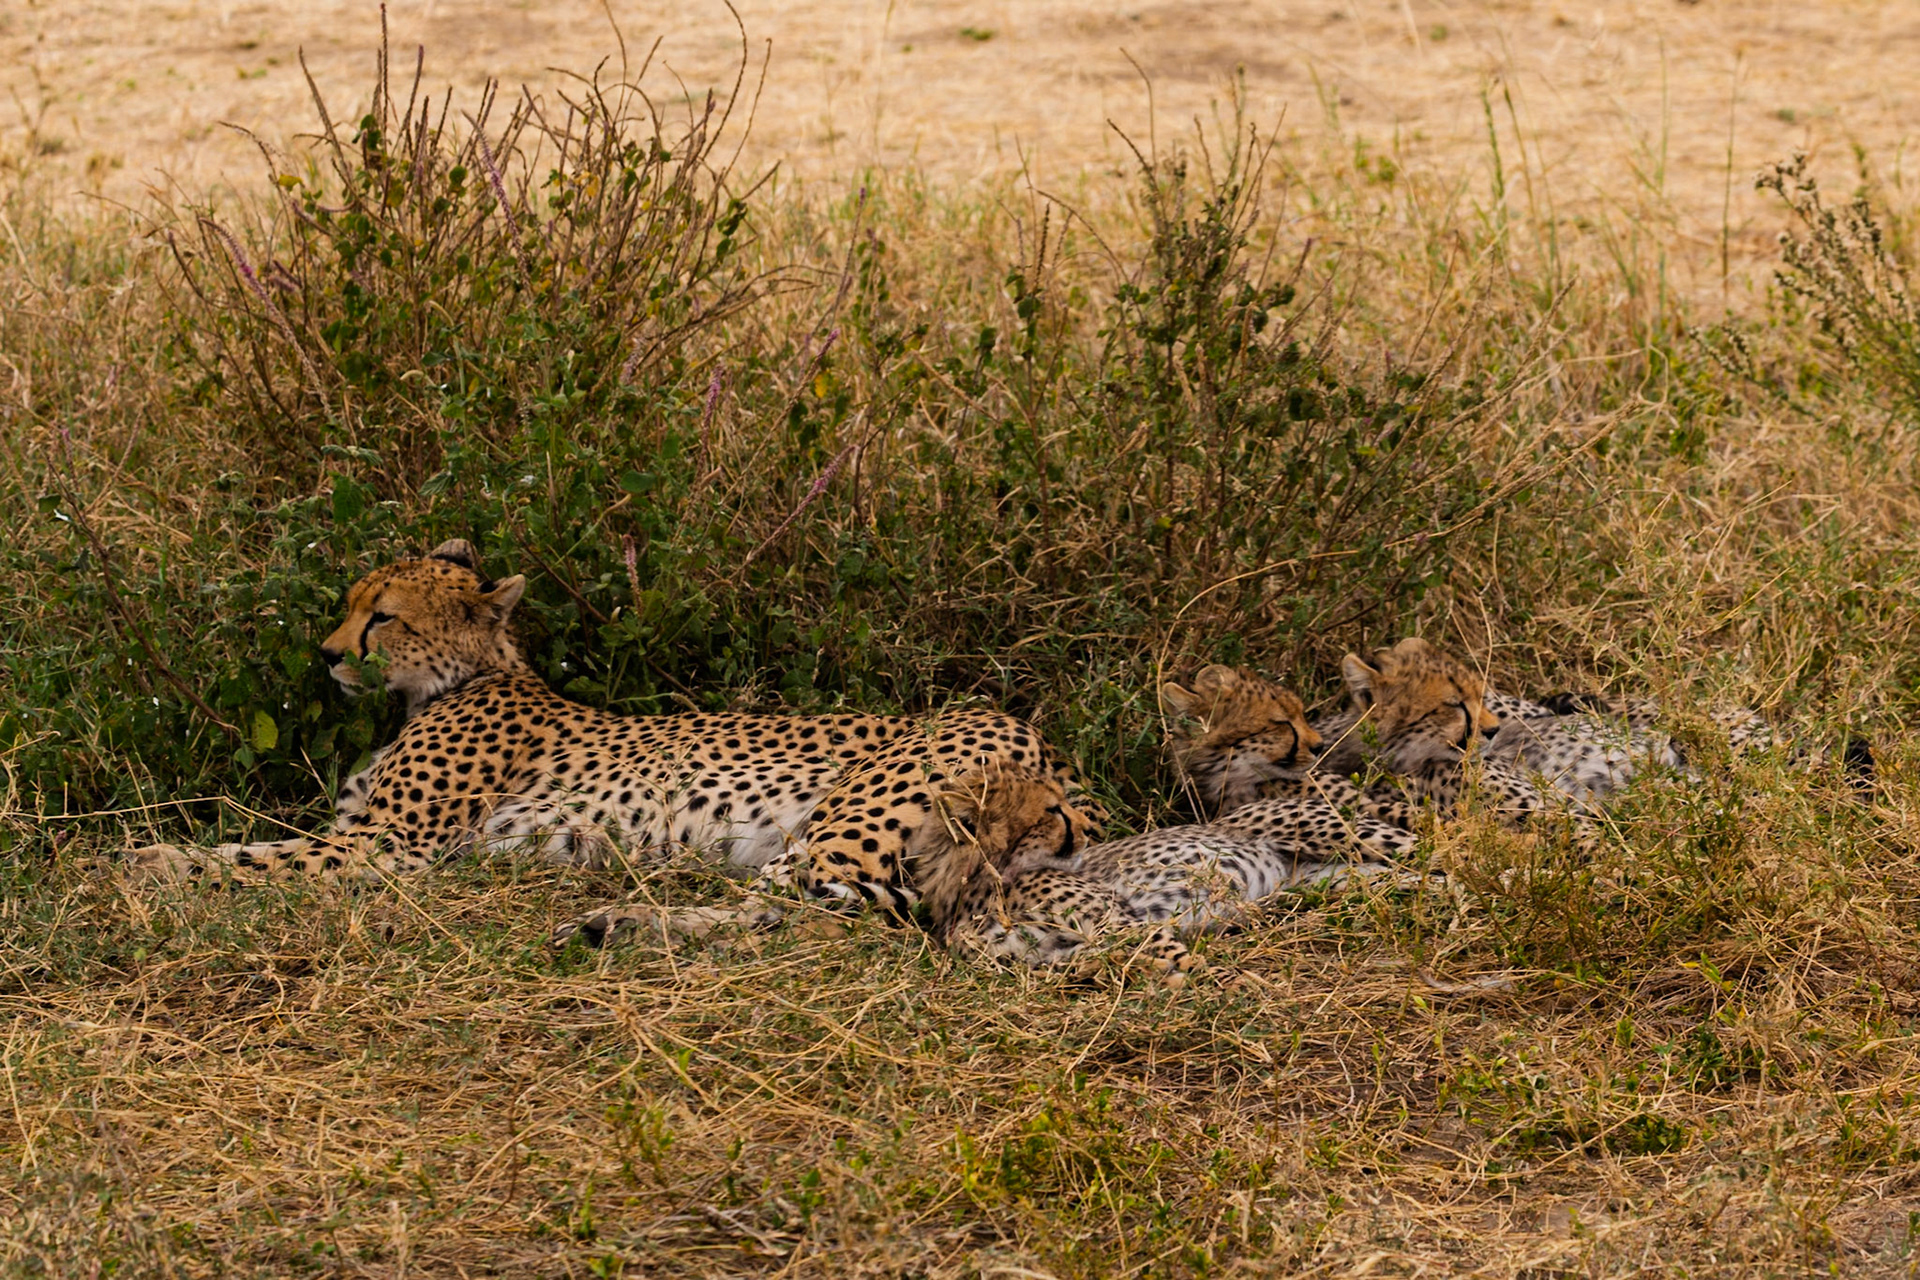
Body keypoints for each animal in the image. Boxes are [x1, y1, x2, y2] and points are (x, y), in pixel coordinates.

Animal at [128, 540, 1084, 933]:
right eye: (350, 602)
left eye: (383, 616)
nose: (328, 657)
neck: (461, 680)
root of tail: (1037, 740)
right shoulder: (361, 833)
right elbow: (261, 847)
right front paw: (154, 857)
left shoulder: (385, 846)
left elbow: (258, 859)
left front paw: (145, 865)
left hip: (844, 826)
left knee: (815, 912)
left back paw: (617, 923)